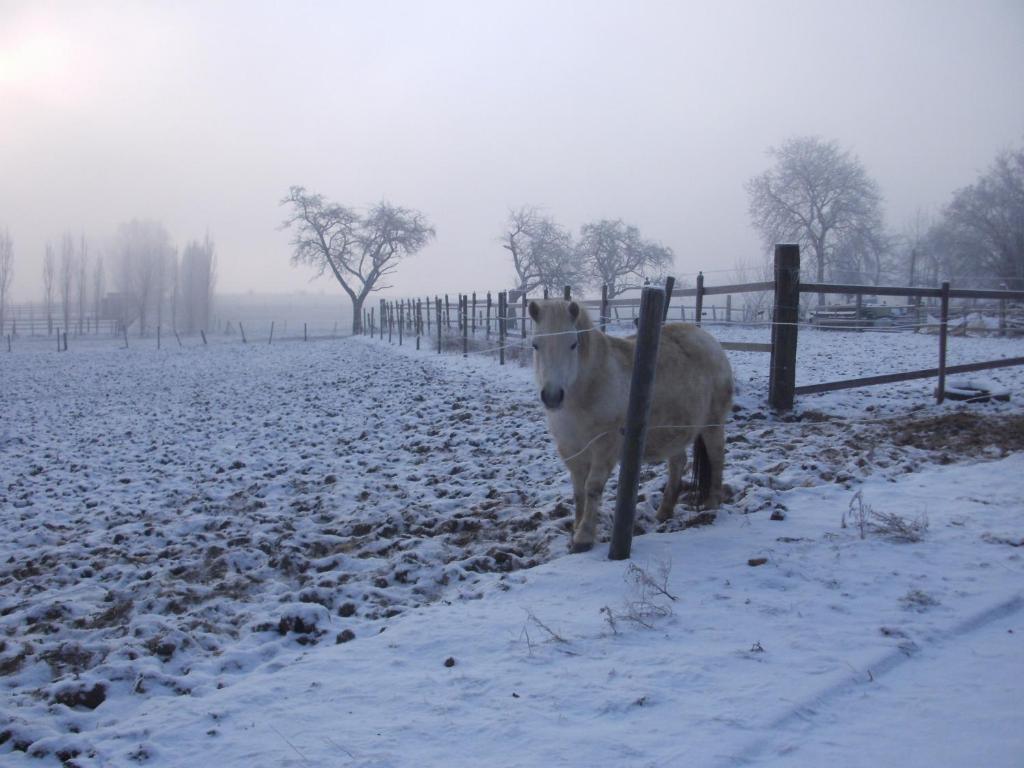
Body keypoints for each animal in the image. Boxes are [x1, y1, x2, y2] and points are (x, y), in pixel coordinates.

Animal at [528, 301, 737, 552]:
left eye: (573, 344)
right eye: (535, 345)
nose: (552, 396)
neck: (588, 389)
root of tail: (709, 340)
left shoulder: (605, 447)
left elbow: (592, 488)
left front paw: (584, 538)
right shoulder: (571, 449)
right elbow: (578, 492)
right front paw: (576, 529)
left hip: (713, 424)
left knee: (716, 457)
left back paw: (712, 505)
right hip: (675, 431)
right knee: (678, 463)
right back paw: (664, 512)